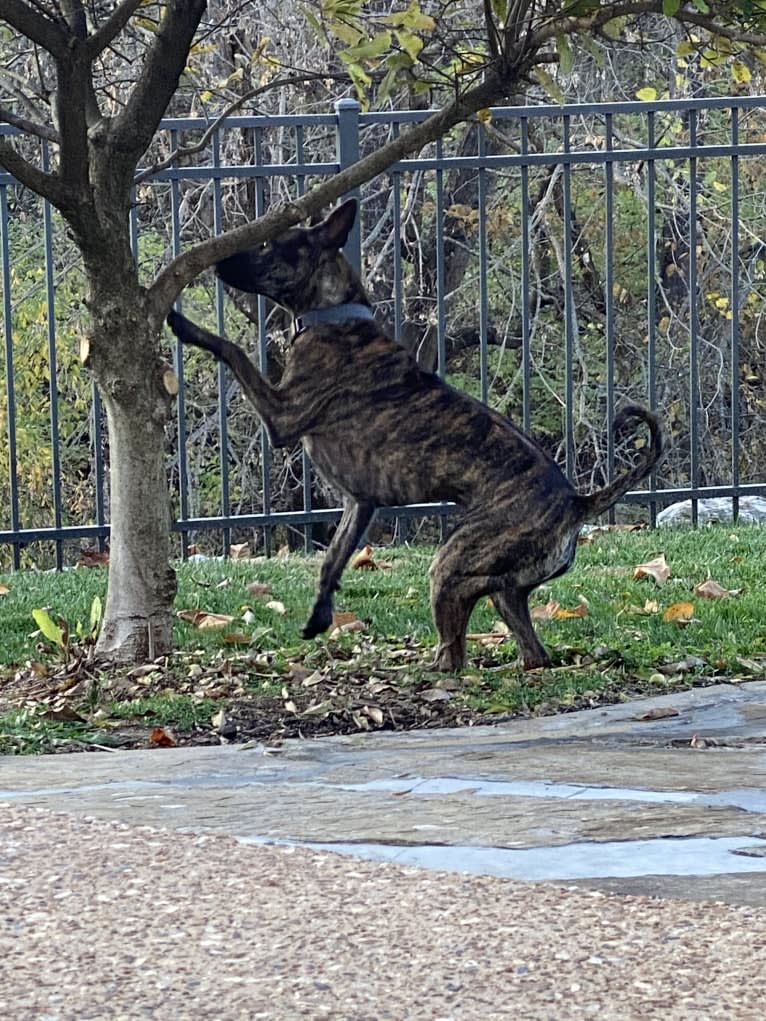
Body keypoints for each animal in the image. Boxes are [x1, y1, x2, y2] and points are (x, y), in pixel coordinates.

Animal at [169, 203, 665, 673]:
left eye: (270, 246)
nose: (219, 260)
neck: (336, 316)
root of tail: (577, 502)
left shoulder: (282, 416)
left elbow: (233, 350)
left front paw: (185, 325)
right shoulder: (360, 504)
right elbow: (332, 560)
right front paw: (320, 615)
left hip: (455, 562)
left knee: (455, 638)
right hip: (508, 590)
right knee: (528, 646)